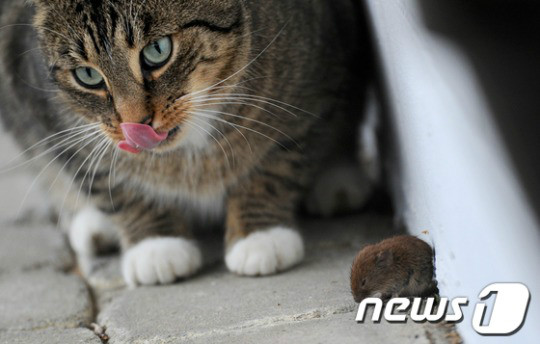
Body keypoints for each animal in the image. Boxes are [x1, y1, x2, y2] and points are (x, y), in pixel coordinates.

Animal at [0, 0, 368, 286]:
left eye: (157, 50)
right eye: (87, 76)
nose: (135, 124)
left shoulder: (312, 90)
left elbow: (277, 165)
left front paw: (261, 236)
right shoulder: (51, 123)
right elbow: (113, 182)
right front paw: (157, 245)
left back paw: (337, 180)